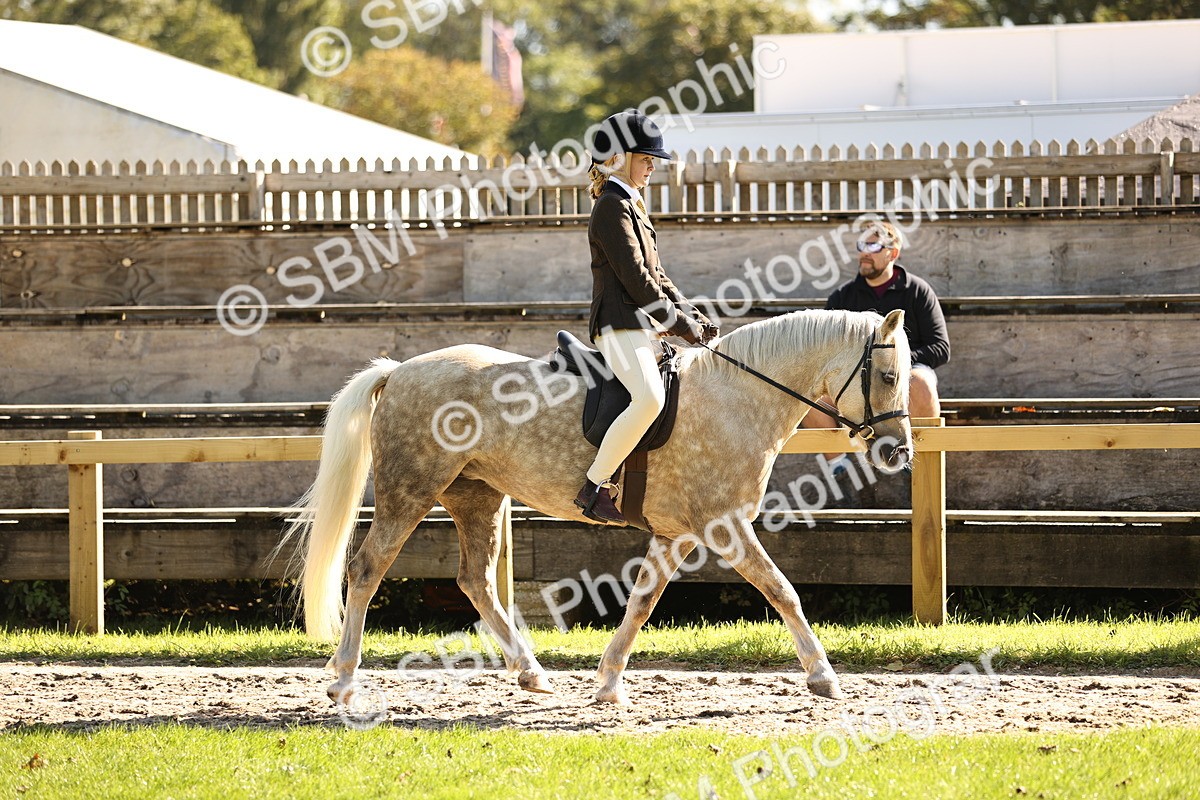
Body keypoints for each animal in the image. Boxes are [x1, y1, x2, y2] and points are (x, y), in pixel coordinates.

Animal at [281, 308, 913, 707]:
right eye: (887, 375)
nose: (897, 451)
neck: (738, 397)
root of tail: (399, 370)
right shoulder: (725, 526)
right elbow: (783, 591)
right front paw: (824, 678)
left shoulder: (677, 534)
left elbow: (641, 603)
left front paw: (608, 683)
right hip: (409, 489)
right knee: (367, 570)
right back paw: (343, 682)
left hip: (476, 496)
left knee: (475, 580)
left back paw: (531, 674)